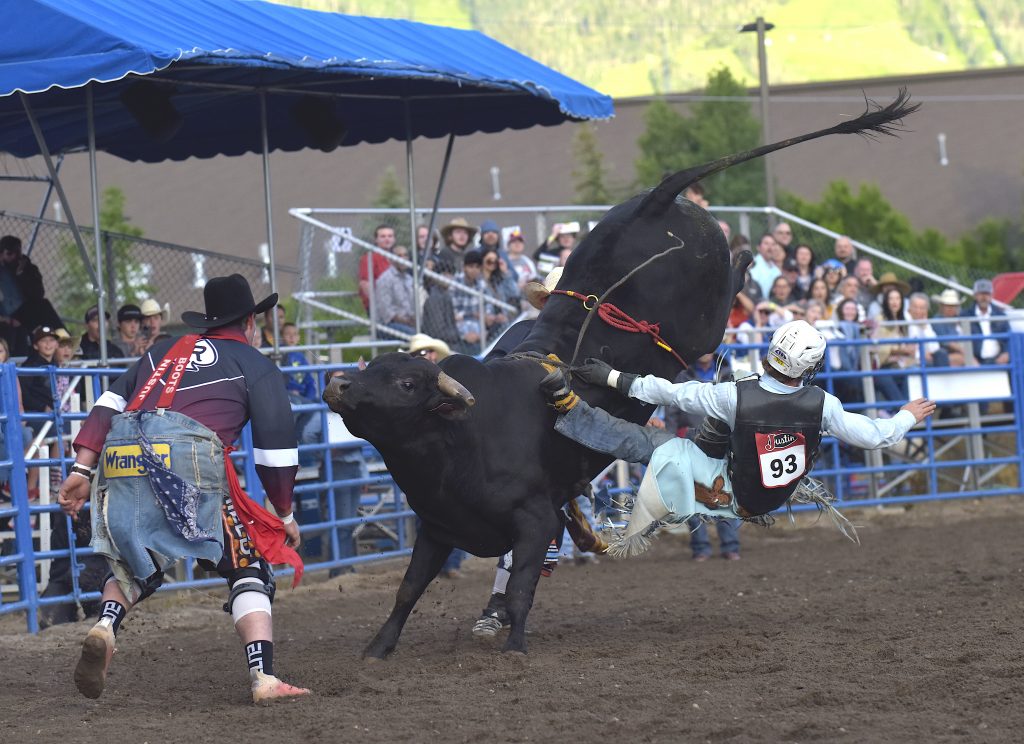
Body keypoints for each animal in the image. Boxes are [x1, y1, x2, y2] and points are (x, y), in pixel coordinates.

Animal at [323, 91, 919, 658]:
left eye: (406, 383)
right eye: (375, 368)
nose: (340, 383)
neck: (465, 432)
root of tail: (658, 199)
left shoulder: (535, 520)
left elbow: (520, 586)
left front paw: (515, 647)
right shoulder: (437, 527)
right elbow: (408, 589)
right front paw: (378, 649)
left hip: (703, 323)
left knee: (734, 278)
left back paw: (748, 254)